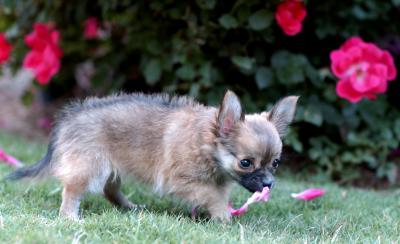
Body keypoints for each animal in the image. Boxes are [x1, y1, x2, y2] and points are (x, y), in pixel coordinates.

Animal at [7, 90, 298, 222]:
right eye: (245, 163)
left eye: (276, 163)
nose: (268, 184)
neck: (205, 145)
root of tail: (68, 120)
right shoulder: (182, 180)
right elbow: (213, 196)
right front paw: (223, 218)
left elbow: (216, 194)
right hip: (90, 167)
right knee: (72, 191)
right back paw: (70, 216)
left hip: (113, 168)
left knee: (109, 190)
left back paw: (129, 207)